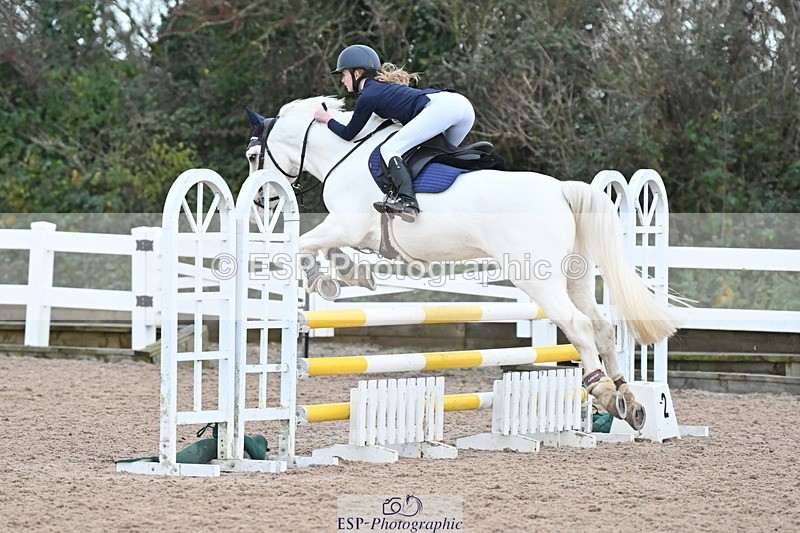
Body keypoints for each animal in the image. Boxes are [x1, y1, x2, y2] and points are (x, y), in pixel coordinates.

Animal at [245, 95, 680, 430]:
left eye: (252, 156)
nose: (259, 205)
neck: (344, 155)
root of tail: (560, 190)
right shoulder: (352, 232)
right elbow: (321, 250)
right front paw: (346, 275)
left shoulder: (346, 225)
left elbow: (305, 246)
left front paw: (326, 278)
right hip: (575, 276)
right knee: (603, 328)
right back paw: (630, 400)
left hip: (536, 278)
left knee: (579, 325)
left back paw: (602, 390)